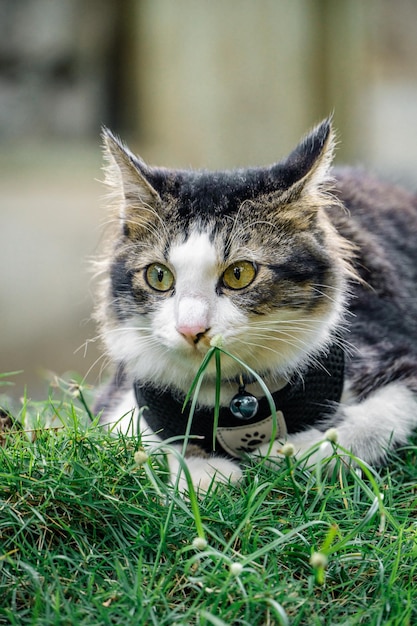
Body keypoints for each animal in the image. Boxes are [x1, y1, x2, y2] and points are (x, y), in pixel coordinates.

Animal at [93, 116, 416, 488]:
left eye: (239, 274)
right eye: (159, 276)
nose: (191, 329)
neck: (236, 398)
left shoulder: (394, 354)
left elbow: (360, 430)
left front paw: (287, 452)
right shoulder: (120, 400)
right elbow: (149, 434)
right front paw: (204, 475)